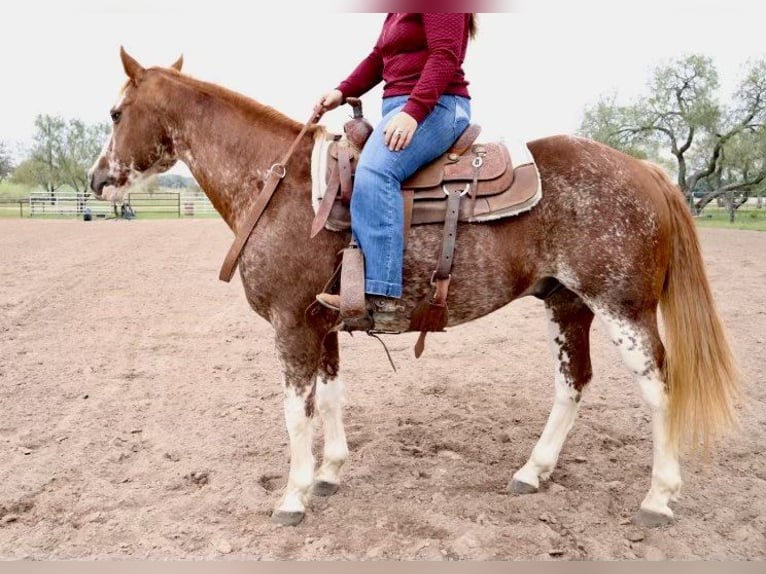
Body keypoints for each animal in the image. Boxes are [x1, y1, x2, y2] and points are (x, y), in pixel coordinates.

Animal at [87, 49, 740, 532]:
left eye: (116, 113)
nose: (95, 180)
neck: (284, 186)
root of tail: (646, 170)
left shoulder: (291, 324)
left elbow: (296, 413)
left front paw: (294, 496)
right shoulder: (322, 325)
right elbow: (331, 397)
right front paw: (329, 473)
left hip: (624, 308)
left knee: (659, 389)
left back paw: (658, 497)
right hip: (566, 304)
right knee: (572, 383)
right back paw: (534, 471)